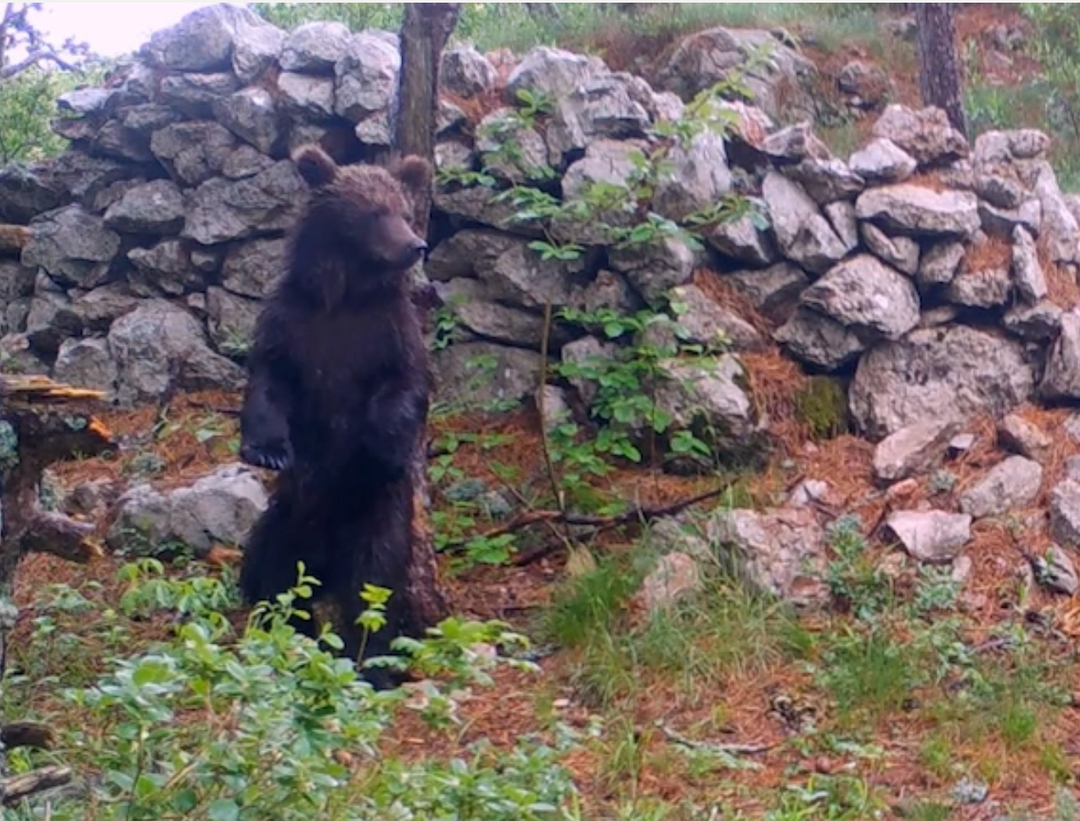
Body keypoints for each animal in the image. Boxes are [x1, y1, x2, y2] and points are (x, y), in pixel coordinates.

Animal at [238, 144, 432, 691]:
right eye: (373, 213)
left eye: (403, 209)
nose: (416, 245)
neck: (345, 295)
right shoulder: (293, 322)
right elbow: (270, 381)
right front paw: (267, 448)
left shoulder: (389, 333)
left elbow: (404, 389)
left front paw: (382, 442)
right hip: (290, 514)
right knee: (275, 568)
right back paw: (285, 629)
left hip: (375, 512)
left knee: (373, 582)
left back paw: (372, 659)